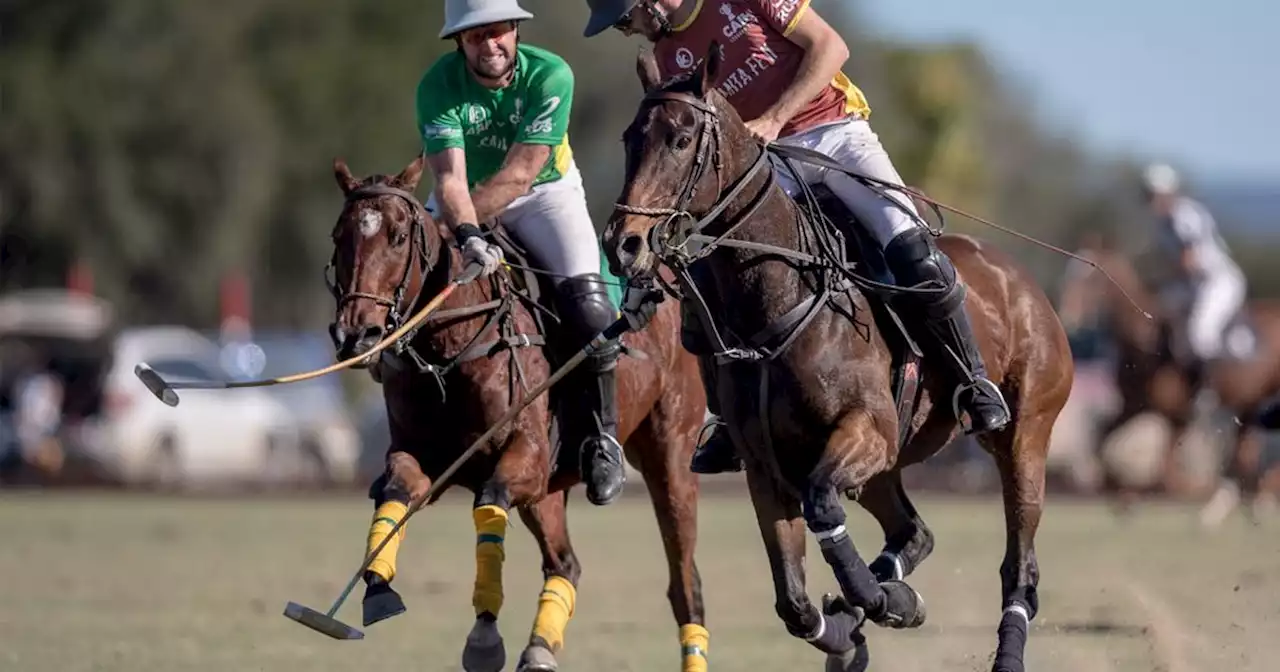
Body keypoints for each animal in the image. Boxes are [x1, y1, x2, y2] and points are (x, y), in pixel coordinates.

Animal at [327, 154, 711, 665]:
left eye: (398, 236)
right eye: (339, 236)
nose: (357, 335)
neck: (449, 349)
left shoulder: (525, 452)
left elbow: (489, 500)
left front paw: (484, 638)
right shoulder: (422, 459)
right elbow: (396, 491)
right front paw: (377, 589)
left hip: (671, 454)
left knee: (685, 583)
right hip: (549, 491)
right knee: (565, 563)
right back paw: (539, 649)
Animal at [604, 47, 1075, 670]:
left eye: (681, 139)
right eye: (631, 137)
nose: (622, 244)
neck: (782, 294)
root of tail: (1025, 282)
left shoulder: (866, 427)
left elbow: (824, 506)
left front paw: (883, 601)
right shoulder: (768, 467)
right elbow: (794, 603)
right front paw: (859, 625)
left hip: (1024, 438)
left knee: (1018, 567)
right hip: (888, 465)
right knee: (915, 533)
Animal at [1054, 240, 1280, 524]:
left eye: (1091, 279)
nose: (1068, 314)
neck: (1145, 342)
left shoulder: (1176, 417)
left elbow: (1163, 469)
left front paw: (1133, 498)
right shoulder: (1134, 406)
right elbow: (1103, 439)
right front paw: (1120, 495)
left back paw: (1256, 501)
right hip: (1250, 406)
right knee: (1246, 450)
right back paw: (1222, 507)